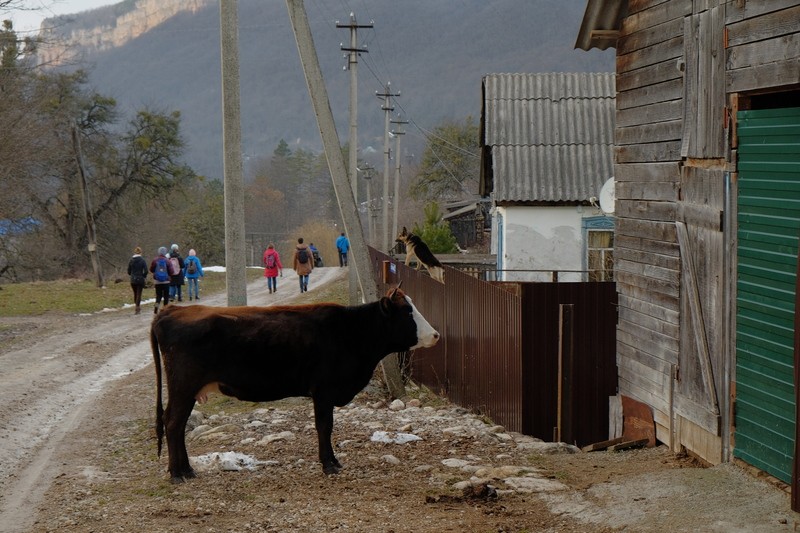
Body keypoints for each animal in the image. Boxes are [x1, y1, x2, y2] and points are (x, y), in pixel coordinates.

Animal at [150, 286, 438, 482]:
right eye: (407, 312)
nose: (435, 335)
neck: (351, 333)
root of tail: (171, 310)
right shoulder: (323, 391)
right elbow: (324, 427)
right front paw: (329, 464)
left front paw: (333, 462)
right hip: (183, 386)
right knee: (173, 424)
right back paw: (177, 473)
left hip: (186, 390)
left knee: (176, 424)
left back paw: (186, 469)